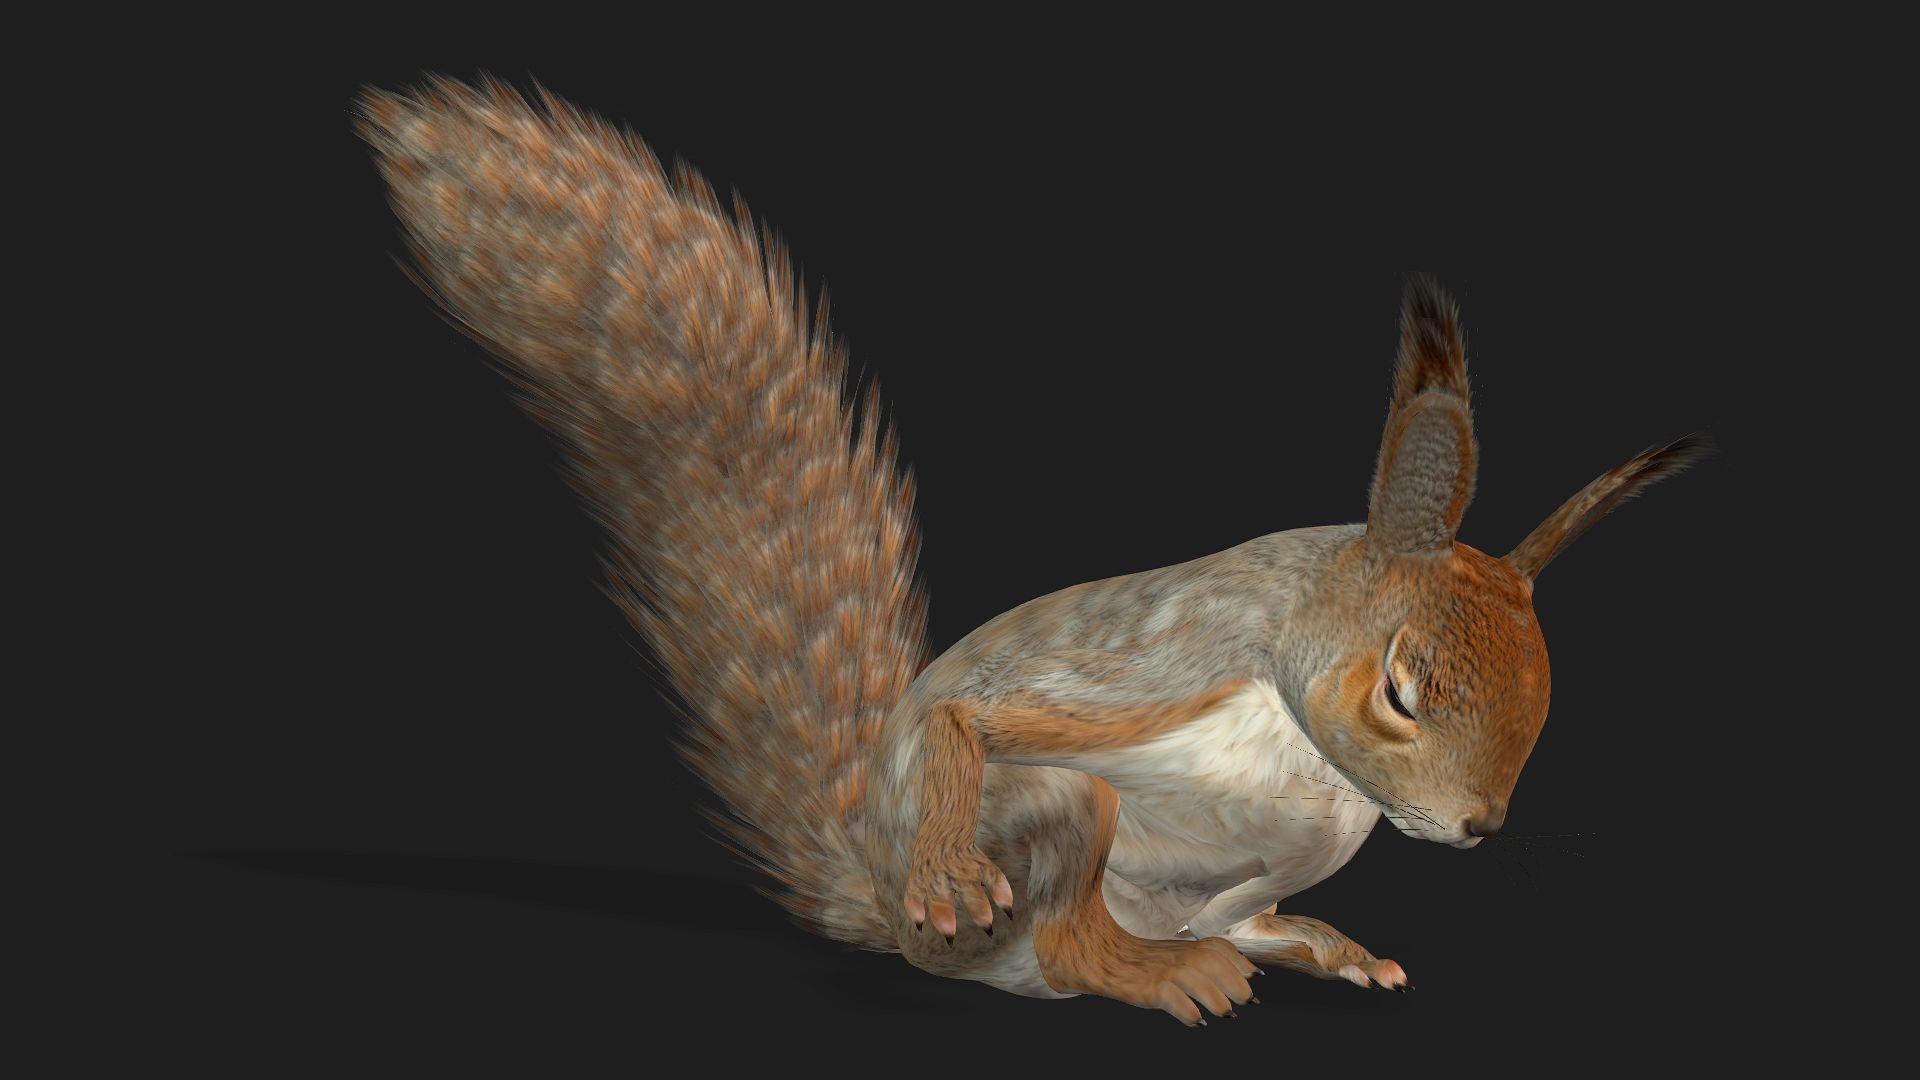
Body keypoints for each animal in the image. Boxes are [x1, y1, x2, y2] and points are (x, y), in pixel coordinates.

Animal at [358, 77, 1709, 1026]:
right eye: (1400, 693)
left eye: (1547, 695)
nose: (1478, 828)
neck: (1293, 660)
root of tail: (869, 890)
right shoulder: (1171, 669)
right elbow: (978, 720)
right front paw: (955, 856)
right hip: (1056, 823)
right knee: (1056, 940)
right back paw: (1151, 971)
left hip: (1284, 857)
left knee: (1224, 920)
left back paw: (1301, 945)